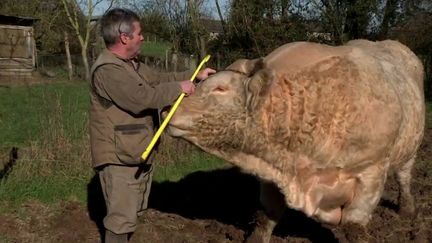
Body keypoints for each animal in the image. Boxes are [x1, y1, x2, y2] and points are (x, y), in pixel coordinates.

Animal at [167, 39, 424, 241]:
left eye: (220, 89)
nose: (167, 109)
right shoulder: (272, 171)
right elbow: (266, 216)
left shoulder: (371, 175)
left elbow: (354, 228)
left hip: (410, 150)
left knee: (404, 177)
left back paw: (407, 210)